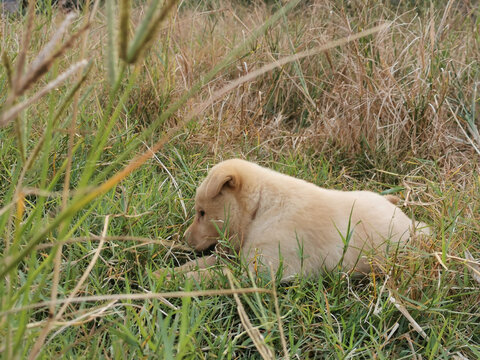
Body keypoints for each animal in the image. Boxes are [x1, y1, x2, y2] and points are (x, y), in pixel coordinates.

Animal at [164, 160, 428, 282]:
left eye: (201, 213)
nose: (184, 240)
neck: (261, 210)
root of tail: (414, 226)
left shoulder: (257, 271)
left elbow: (206, 276)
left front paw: (170, 282)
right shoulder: (235, 255)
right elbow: (200, 265)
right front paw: (166, 273)